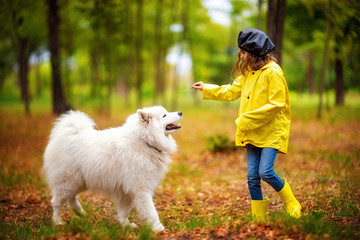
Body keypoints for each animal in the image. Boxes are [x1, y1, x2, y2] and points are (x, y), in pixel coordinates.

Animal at [43, 105, 183, 231]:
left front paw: (126, 225)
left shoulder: (126, 191)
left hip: (79, 182)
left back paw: (80, 212)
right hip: (68, 181)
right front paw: (159, 228)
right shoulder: (141, 189)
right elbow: (151, 211)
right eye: (164, 115)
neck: (145, 141)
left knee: (71, 198)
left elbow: (124, 211)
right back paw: (57, 221)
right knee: (56, 202)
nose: (180, 112)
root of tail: (65, 133)